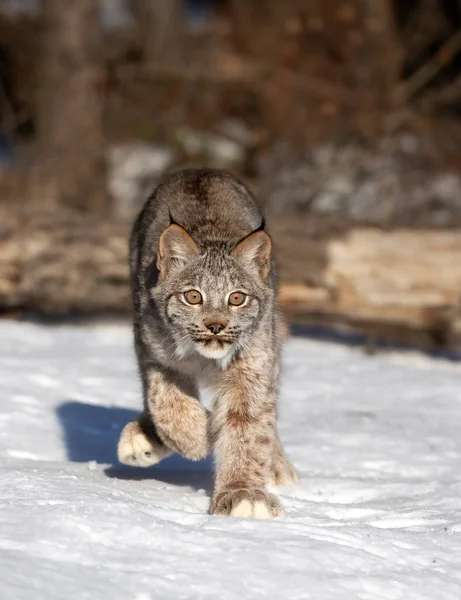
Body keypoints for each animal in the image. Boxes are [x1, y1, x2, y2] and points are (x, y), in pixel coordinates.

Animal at [118, 168, 296, 516]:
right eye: (193, 297)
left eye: (237, 298)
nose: (216, 326)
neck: (205, 357)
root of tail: (199, 170)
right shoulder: (151, 349)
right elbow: (165, 402)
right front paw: (198, 438)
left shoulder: (253, 366)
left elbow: (248, 426)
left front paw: (243, 493)